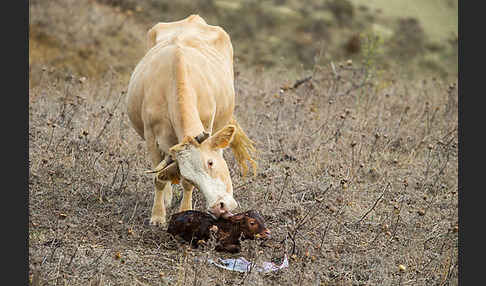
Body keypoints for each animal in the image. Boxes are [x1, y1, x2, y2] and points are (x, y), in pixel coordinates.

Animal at [124, 14, 258, 227]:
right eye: (187, 172)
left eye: (210, 163)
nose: (218, 208)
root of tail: (193, 19)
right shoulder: (151, 137)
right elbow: (159, 177)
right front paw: (158, 216)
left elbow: (185, 185)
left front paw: (185, 211)